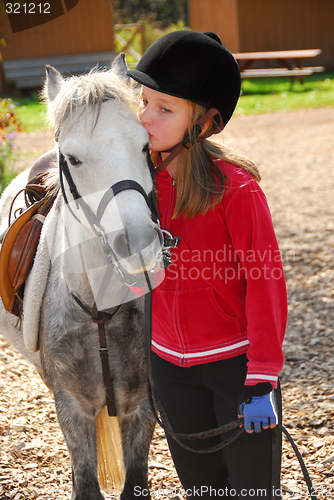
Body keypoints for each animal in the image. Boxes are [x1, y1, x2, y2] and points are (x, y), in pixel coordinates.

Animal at [0, 55, 163, 500]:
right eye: (72, 158)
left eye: (145, 146)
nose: (139, 244)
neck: (99, 307)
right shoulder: (72, 408)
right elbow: (86, 484)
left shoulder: (141, 406)